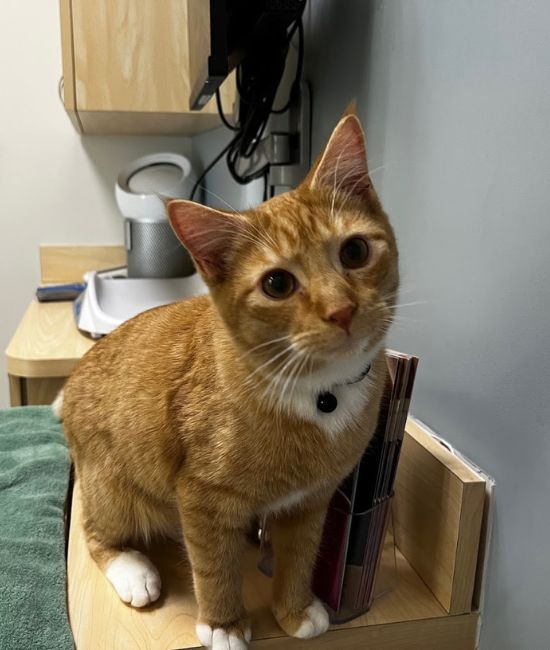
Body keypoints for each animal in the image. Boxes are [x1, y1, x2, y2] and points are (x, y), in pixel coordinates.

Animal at [58, 114, 398, 644]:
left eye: (356, 251)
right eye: (277, 283)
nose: (341, 310)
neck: (318, 395)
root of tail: (73, 380)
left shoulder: (312, 500)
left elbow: (301, 554)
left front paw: (294, 609)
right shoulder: (202, 498)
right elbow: (214, 565)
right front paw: (224, 624)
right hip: (112, 486)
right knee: (95, 532)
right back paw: (134, 571)